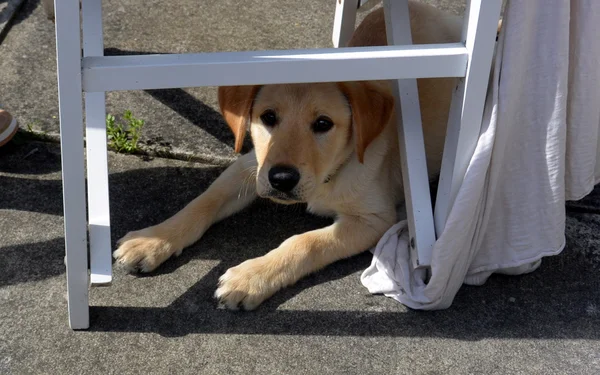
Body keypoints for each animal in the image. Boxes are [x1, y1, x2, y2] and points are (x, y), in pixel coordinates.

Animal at [113, 1, 460, 310]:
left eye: (323, 124)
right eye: (268, 117)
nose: (281, 179)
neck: (331, 173)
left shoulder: (375, 218)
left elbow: (305, 242)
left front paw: (251, 277)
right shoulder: (250, 166)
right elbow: (203, 202)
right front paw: (154, 239)